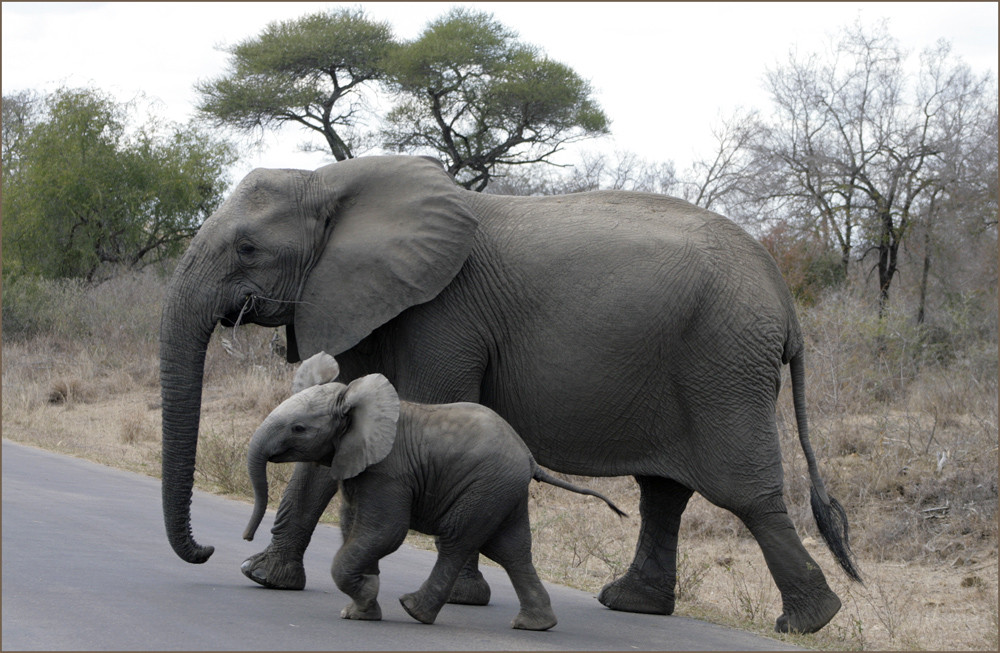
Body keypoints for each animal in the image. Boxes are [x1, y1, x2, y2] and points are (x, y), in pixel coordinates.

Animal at [245, 354, 620, 628]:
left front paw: (365, 595)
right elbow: (353, 528)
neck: (355, 403)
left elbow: (385, 532)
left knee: (457, 540)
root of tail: (528, 456)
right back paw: (536, 625)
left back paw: (414, 610)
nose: (247, 538)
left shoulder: (389, 472)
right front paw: (362, 607)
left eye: (299, 428)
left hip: (485, 487)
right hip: (503, 491)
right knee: (511, 550)